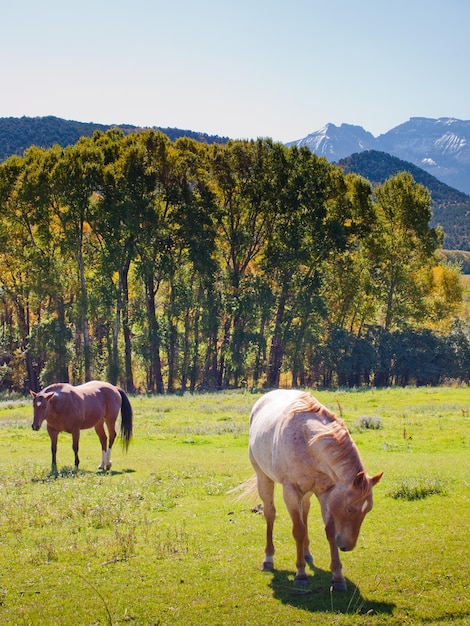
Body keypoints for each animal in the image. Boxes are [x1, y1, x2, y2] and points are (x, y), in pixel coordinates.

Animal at [248, 388, 384, 588]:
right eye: (350, 509)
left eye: (368, 510)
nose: (347, 546)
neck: (307, 441)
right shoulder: (291, 491)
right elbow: (298, 530)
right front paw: (300, 574)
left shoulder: (326, 493)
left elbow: (329, 531)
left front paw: (338, 577)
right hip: (264, 477)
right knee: (270, 513)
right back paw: (268, 559)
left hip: (306, 493)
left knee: (304, 512)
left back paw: (306, 553)